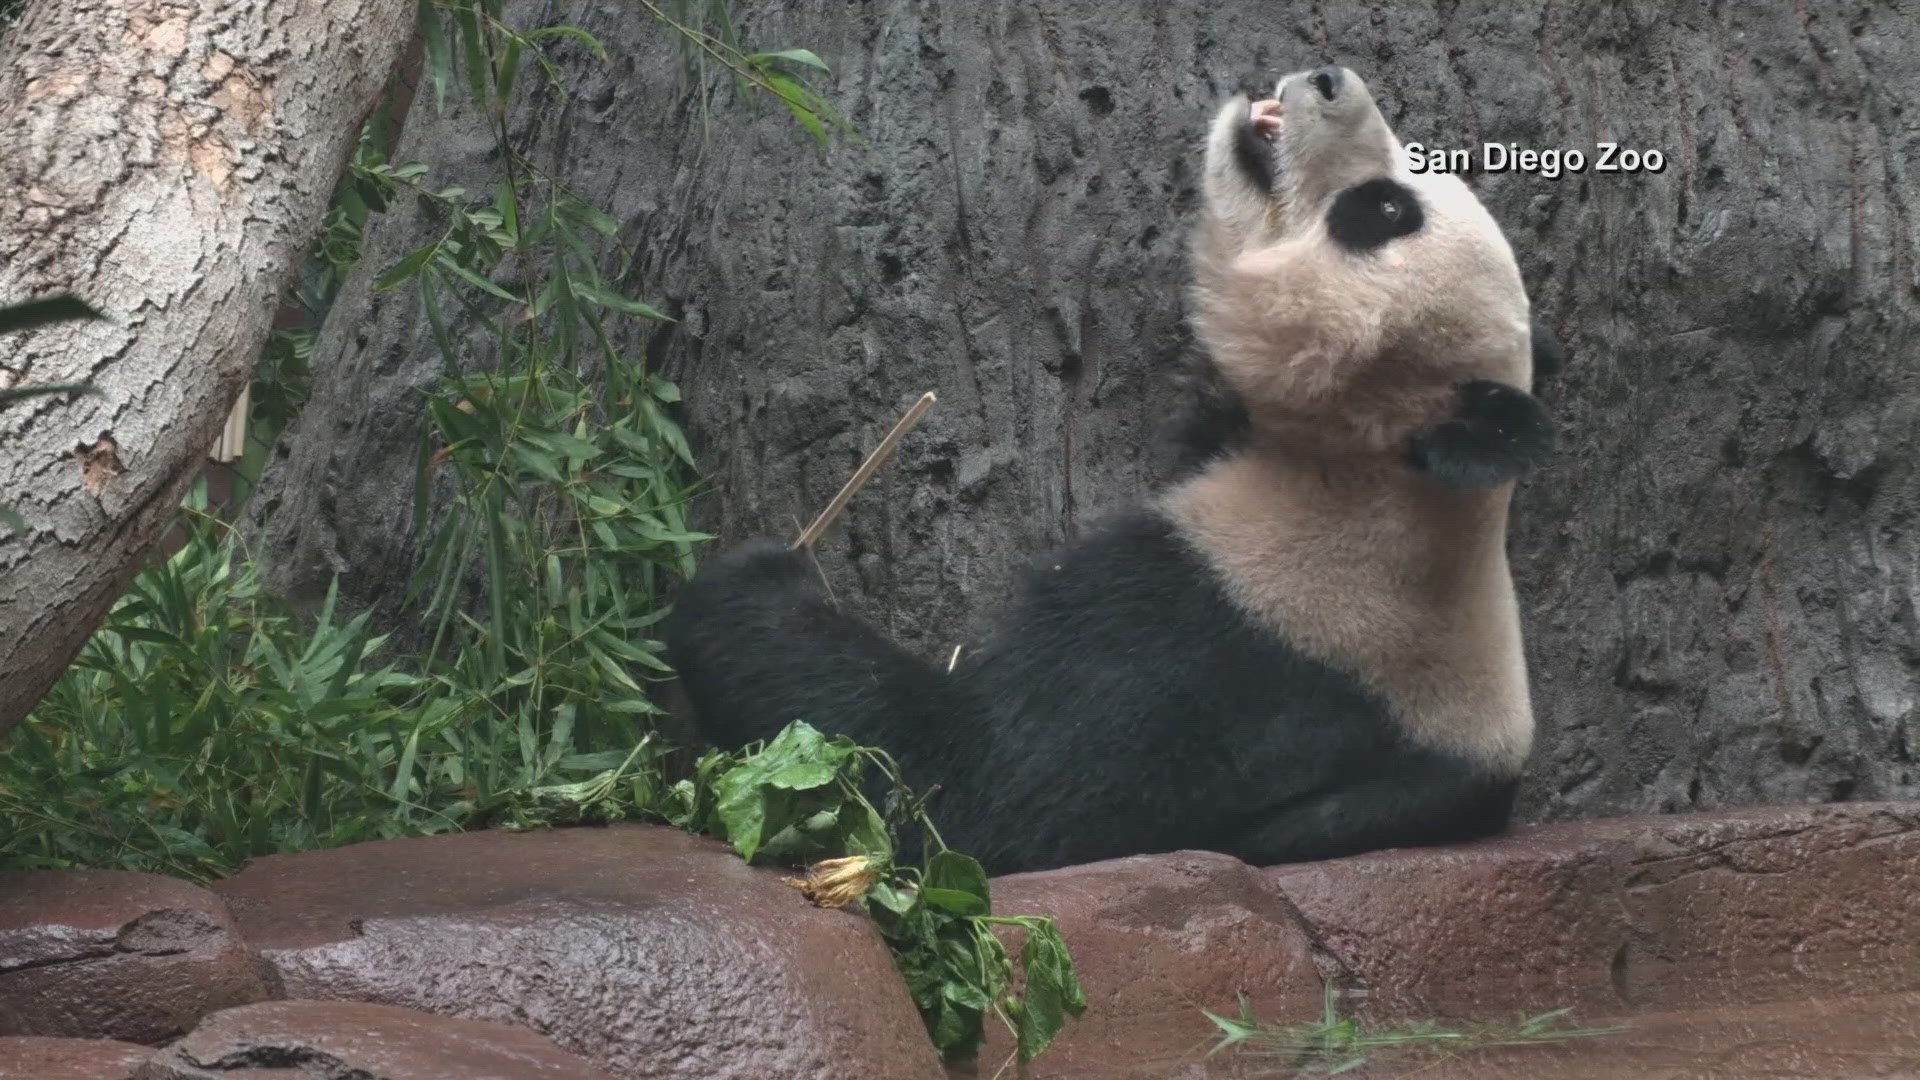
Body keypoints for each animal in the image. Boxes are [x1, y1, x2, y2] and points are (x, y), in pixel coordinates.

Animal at [664, 65, 1559, 876]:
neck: (1368, 466)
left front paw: (753, 583)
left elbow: (976, 790)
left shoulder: (1248, 631)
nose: (1330, 79)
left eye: (1384, 212)